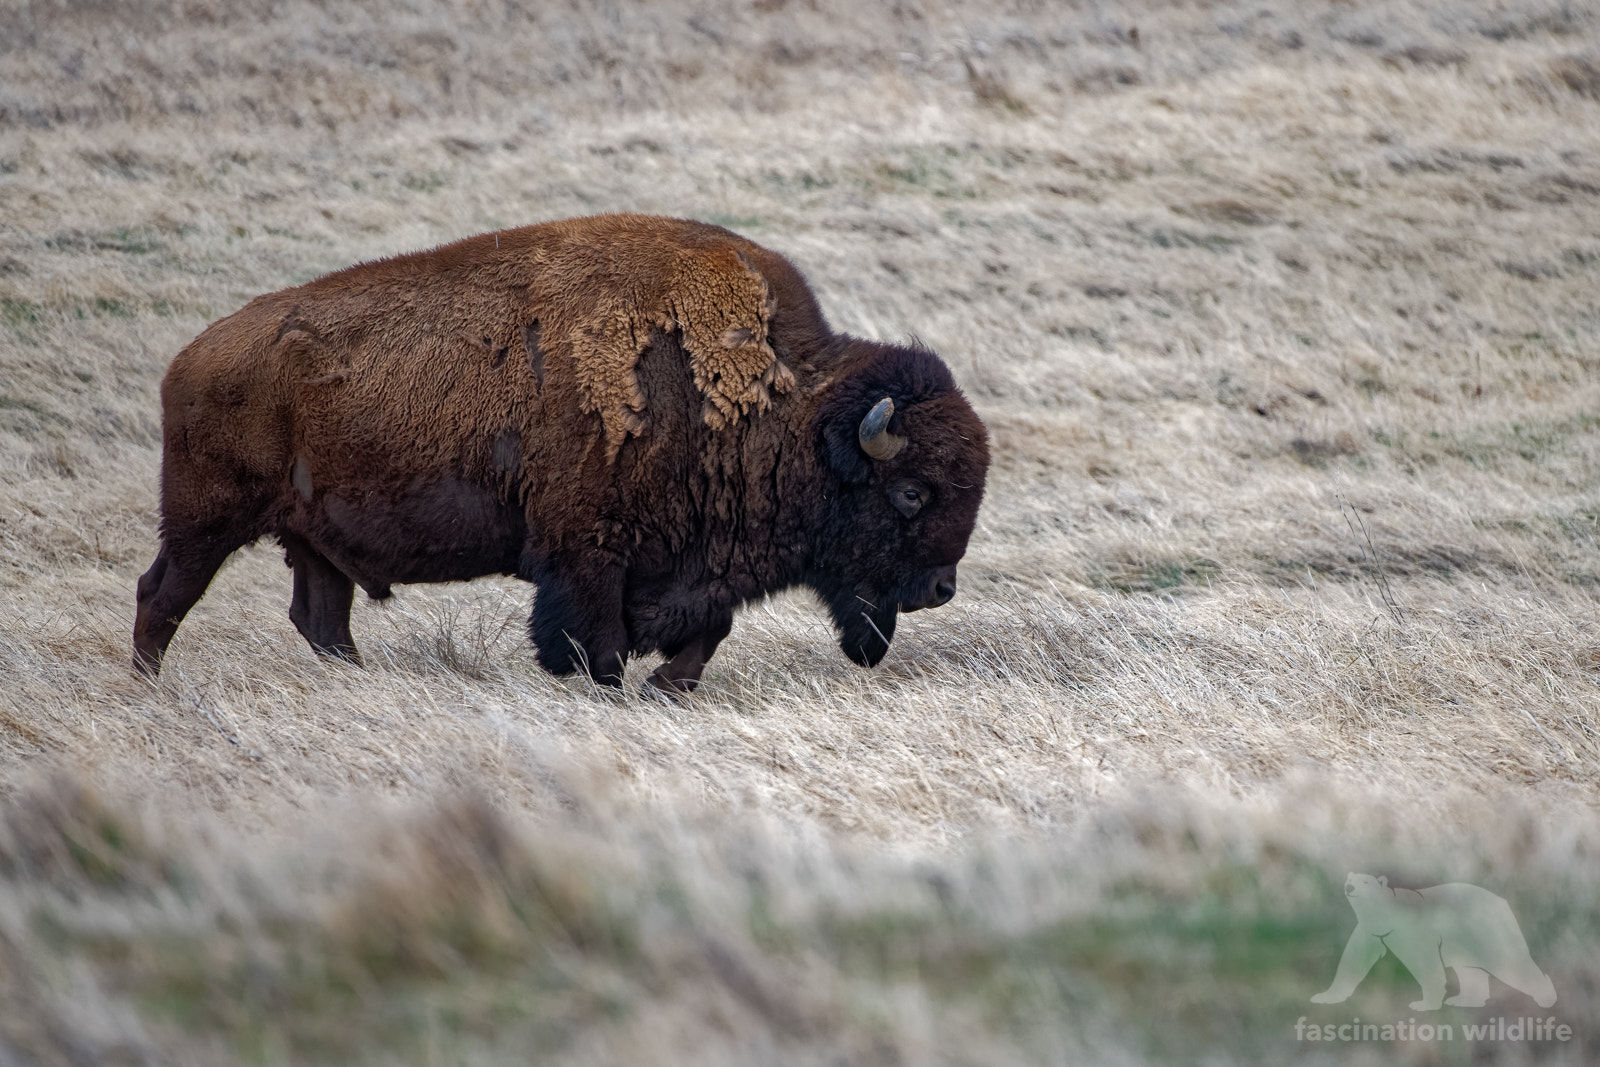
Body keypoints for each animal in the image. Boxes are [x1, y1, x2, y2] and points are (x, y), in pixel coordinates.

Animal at [137, 214, 985, 697]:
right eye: (912, 491)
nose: (940, 588)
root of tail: (190, 359)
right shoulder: (588, 557)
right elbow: (594, 642)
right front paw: (614, 688)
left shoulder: (691, 568)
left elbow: (707, 632)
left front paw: (665, 688)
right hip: (205, 519)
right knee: (164, 592)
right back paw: (149, 684)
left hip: (314, 539)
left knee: (322, 620)